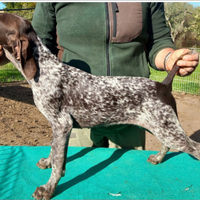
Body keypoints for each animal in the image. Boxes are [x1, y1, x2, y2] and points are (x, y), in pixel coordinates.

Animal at [0, 12, 199, 200]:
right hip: (160, 125)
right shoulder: (60, 126)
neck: (45, 70)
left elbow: (58, 161)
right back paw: (158, 158)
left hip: (165, 126)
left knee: (195, 147)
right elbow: (55, 150)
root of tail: (163, 85)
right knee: (167, 144)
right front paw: (48, 162)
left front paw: (48, 189)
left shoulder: (62, 123)